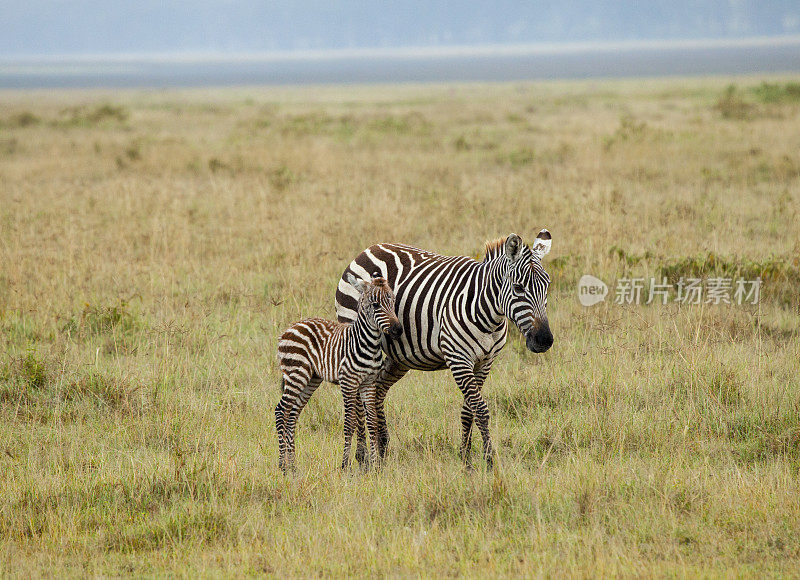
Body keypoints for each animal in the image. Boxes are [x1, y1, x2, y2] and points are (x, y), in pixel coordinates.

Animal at [276, 274, 404, 472]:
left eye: (393, 302)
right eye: (376, 305)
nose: (398, 330)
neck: (369, 344)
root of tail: (291, 327)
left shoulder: (368, 383)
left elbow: (372, 422)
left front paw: (375, 465)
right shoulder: (348, 382)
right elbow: (349, 423)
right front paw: (345, 465)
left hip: (311, 379)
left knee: (292, 413)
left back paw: (293, 466)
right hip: (296, 373)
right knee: (281, 410)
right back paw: (283, 466)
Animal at [334, 231, 552, 466]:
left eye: (547, 286)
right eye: (519, 288)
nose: (544, 340)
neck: (487, 313)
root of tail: (370, 248)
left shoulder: (485, 362)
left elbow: (469, 409)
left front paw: (465, 457)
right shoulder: (458, 359)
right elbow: (480, 409)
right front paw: (489, 461)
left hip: (399, 356)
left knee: (377, 390)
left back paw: (382, 447)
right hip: (357, 339)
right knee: (358, 399)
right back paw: (362, 456)